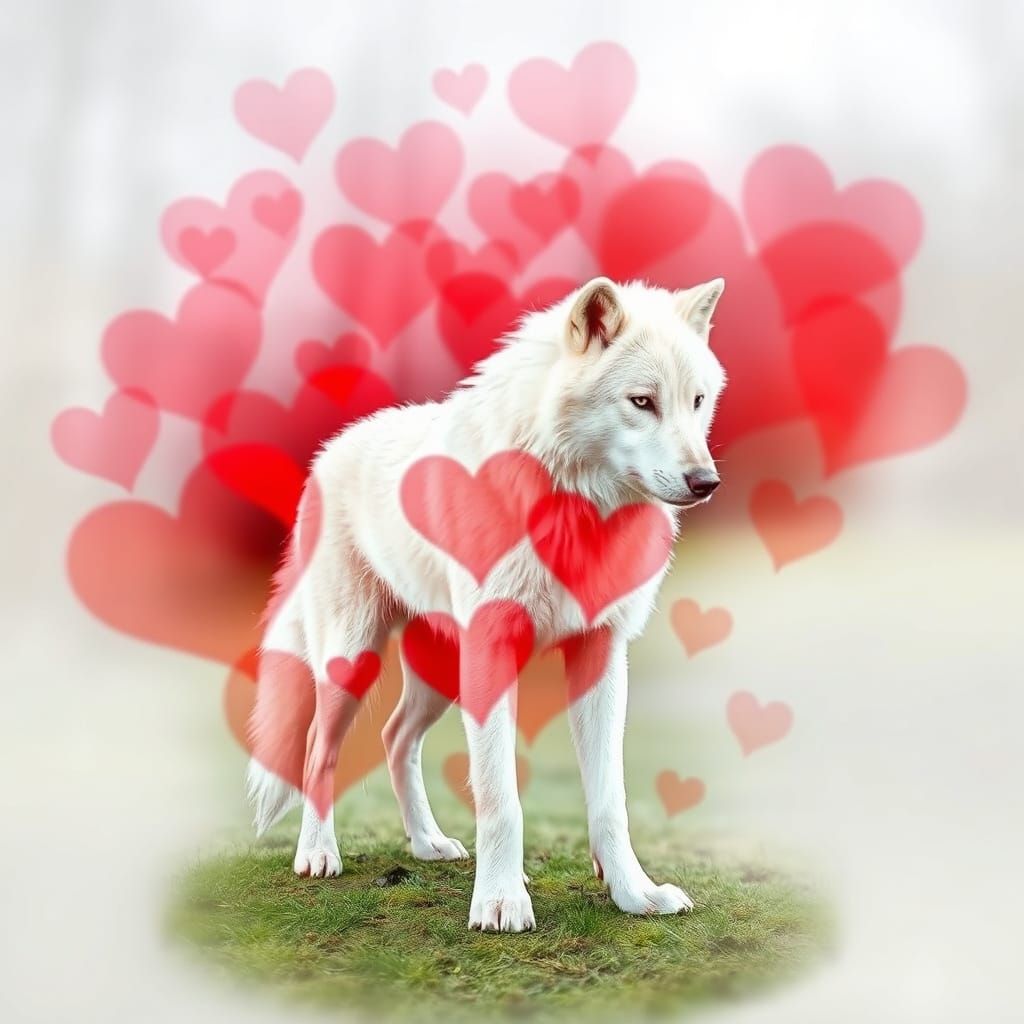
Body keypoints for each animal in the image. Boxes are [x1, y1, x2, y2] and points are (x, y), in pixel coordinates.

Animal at [246, 275, 726, 932]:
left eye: (697, 401)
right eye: (642, 401)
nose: (706, 482)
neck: (570, 509)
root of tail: (329, 451)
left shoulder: (601, 657)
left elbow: (610, 800)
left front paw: (634, 893)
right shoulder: (493, 654)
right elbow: (501, 798)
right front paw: (500, 903)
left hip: (440, 679)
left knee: (396, 738)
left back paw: (427, 844)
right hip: (354, 663)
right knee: (320, 748)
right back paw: (318, 854)